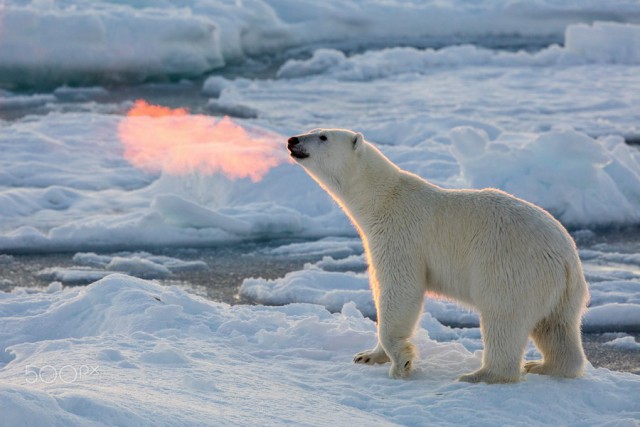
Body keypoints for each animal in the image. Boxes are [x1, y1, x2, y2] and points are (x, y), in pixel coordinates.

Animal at [288, 128, 588, 384]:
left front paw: (401, 363)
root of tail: (566, 258)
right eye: (313, 129)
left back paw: (480, 374)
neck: (381, 198)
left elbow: (400, 289)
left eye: (322, 136)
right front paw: (367, 355)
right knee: (557, 328)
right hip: (562, 292)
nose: (292, 140)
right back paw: (544, 366)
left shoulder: (400, 234)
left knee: (504, 319)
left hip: (512, 267)